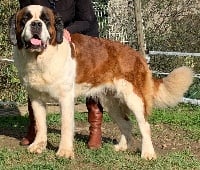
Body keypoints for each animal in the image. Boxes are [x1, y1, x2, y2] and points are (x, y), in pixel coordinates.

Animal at [8, 4, 193, 159]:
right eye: (25, 19)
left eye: (46, 20)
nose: (36, 24)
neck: (40, 58)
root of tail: (136, 54)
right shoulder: (36, 98)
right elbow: (40, 124)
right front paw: (38, 146)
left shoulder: (65, 99)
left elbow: (66, 126)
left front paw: (65, 151)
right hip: (111, 102)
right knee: (126, 123)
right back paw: (122, 147)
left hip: (134, 98)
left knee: (144, 125)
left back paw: (147, 153)